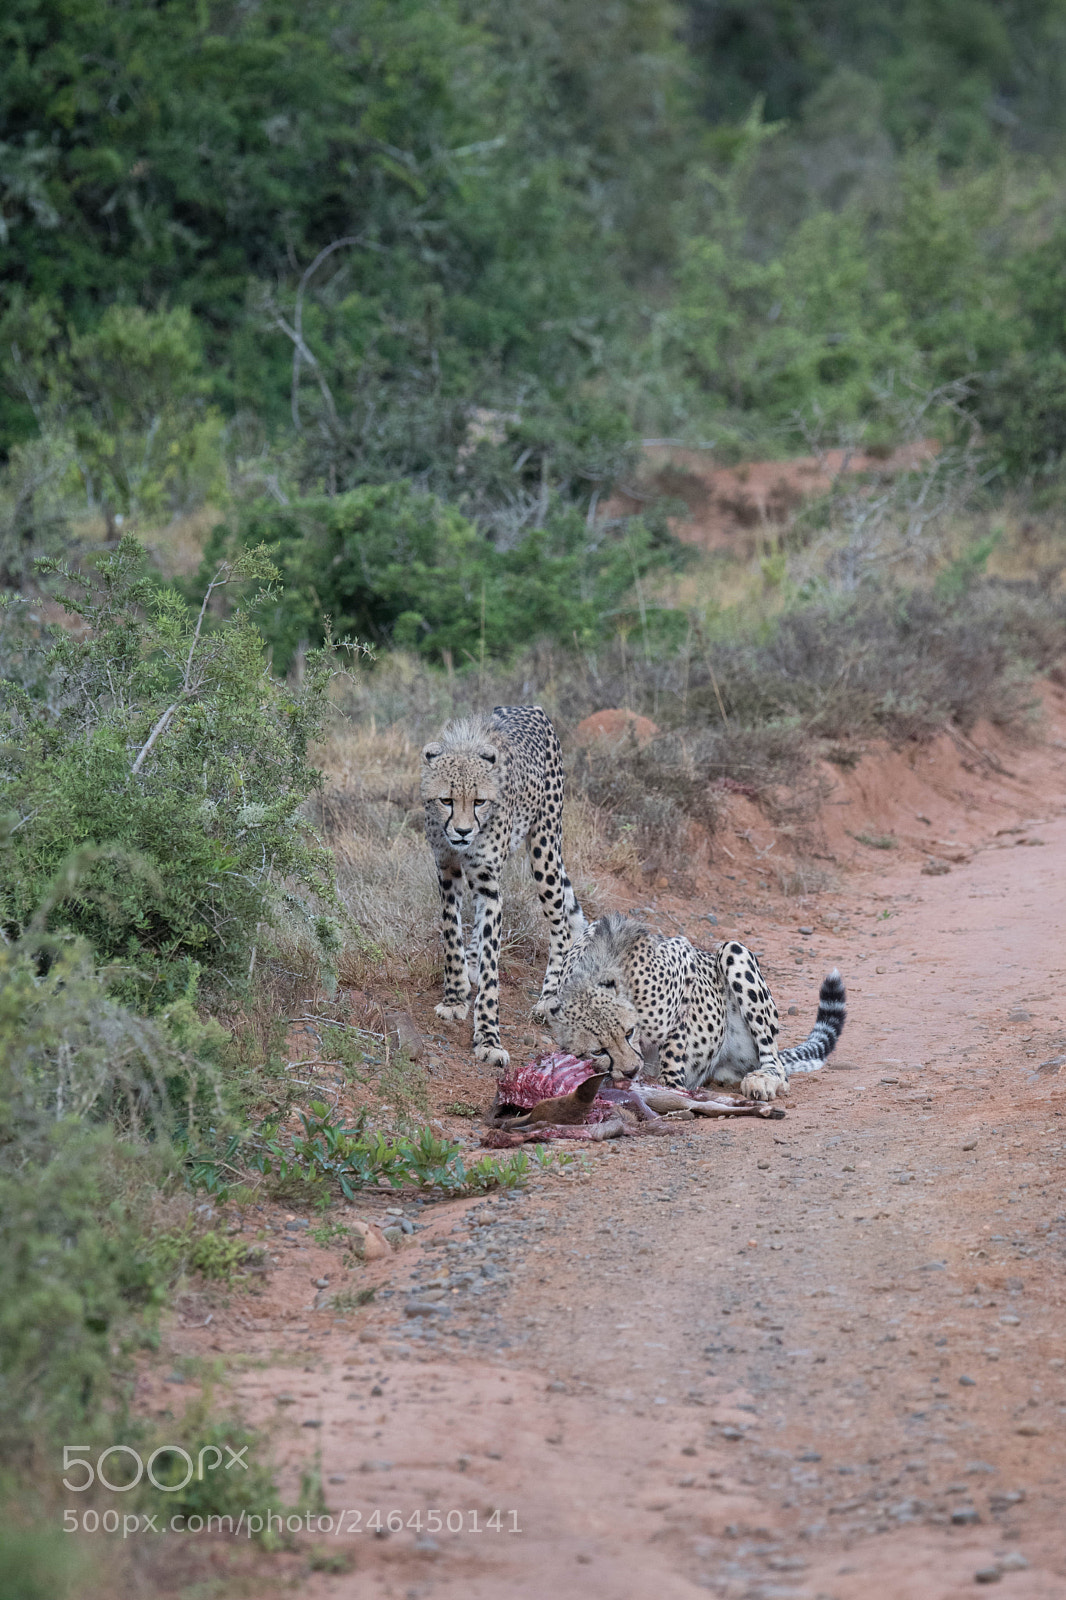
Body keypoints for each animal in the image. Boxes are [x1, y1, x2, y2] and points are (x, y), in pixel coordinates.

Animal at [421, 705, 586, 1068]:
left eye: (479, 801)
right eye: (446, 800)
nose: (463, 832)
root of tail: (533, 708)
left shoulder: (489, 885)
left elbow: (491, 969)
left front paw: (488, 1037)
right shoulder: (447, 871)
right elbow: (451, 935)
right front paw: (455, 996)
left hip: (544, 849)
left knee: (562, 927)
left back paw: (548, 997)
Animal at [541, 911, 845, 1101]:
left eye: (629, 1033)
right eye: (597, 1051)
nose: (630, 1071)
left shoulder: (684, 958)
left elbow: (674, 1045)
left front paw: (672, 1085)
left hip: (734, 953)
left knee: (776, 1063)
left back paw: (763, 1079)